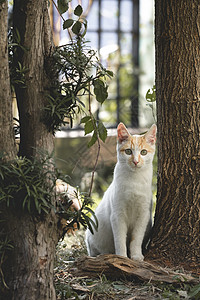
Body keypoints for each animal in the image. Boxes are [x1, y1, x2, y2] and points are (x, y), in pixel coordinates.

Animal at [84, 123, 156, 262]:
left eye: (144, 152)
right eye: (128, 151)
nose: (135, 161)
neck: (134, 180)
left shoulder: (143, 215)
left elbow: (136, 238)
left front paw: (136, 255)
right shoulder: (117, 215)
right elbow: (120, 239)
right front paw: (122, 256)